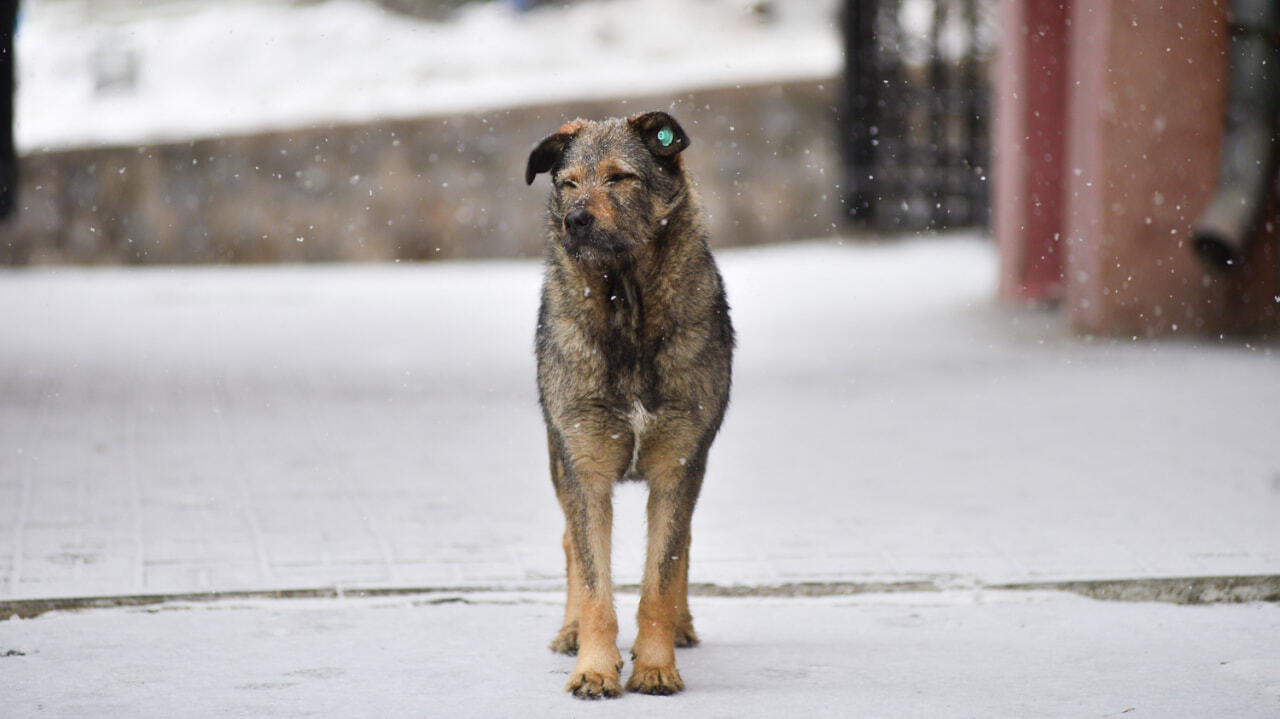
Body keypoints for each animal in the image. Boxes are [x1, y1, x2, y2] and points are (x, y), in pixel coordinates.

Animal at [524, 110, 737, 695]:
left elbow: (659, 580)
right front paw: (594, 668)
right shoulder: (586, 469)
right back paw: (570, 631)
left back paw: (681, 630)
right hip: (559, 460)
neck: (628, 313)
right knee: (570, 547)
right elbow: (595, 584)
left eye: (620, 177)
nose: (575, 219)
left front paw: (656, 665)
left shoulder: (678, 467)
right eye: (568, 183)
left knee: (683, 545)